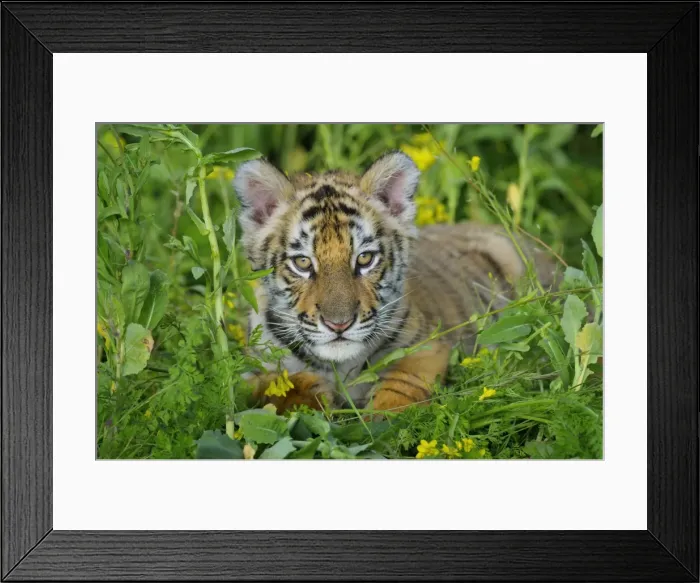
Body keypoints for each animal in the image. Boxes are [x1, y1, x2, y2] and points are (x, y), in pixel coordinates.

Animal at [233, 151, 557, 414]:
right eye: (302, 263)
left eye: (365, 259)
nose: (339, 325)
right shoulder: (249, 370)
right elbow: (271, 383)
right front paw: (311, 394)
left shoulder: (428, 346)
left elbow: (402, 384)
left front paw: (382, 420)